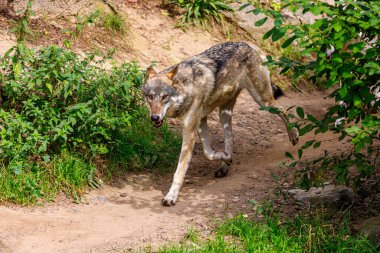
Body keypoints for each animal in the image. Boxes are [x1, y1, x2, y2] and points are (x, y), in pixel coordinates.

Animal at [141, 41, 298, 207]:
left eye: (164, 97)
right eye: (150, 97)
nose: (155, 117)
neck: (187, 87)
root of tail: (247, 44)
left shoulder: (190, 129)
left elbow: (181, 169)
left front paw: (171, 196)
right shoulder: (201, 121)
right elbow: (208, 153)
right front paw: (225, 157)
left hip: (263, 101)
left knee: (283, 110)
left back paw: (294, 136)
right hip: (224, 114)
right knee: (230, 137)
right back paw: (225, 166)